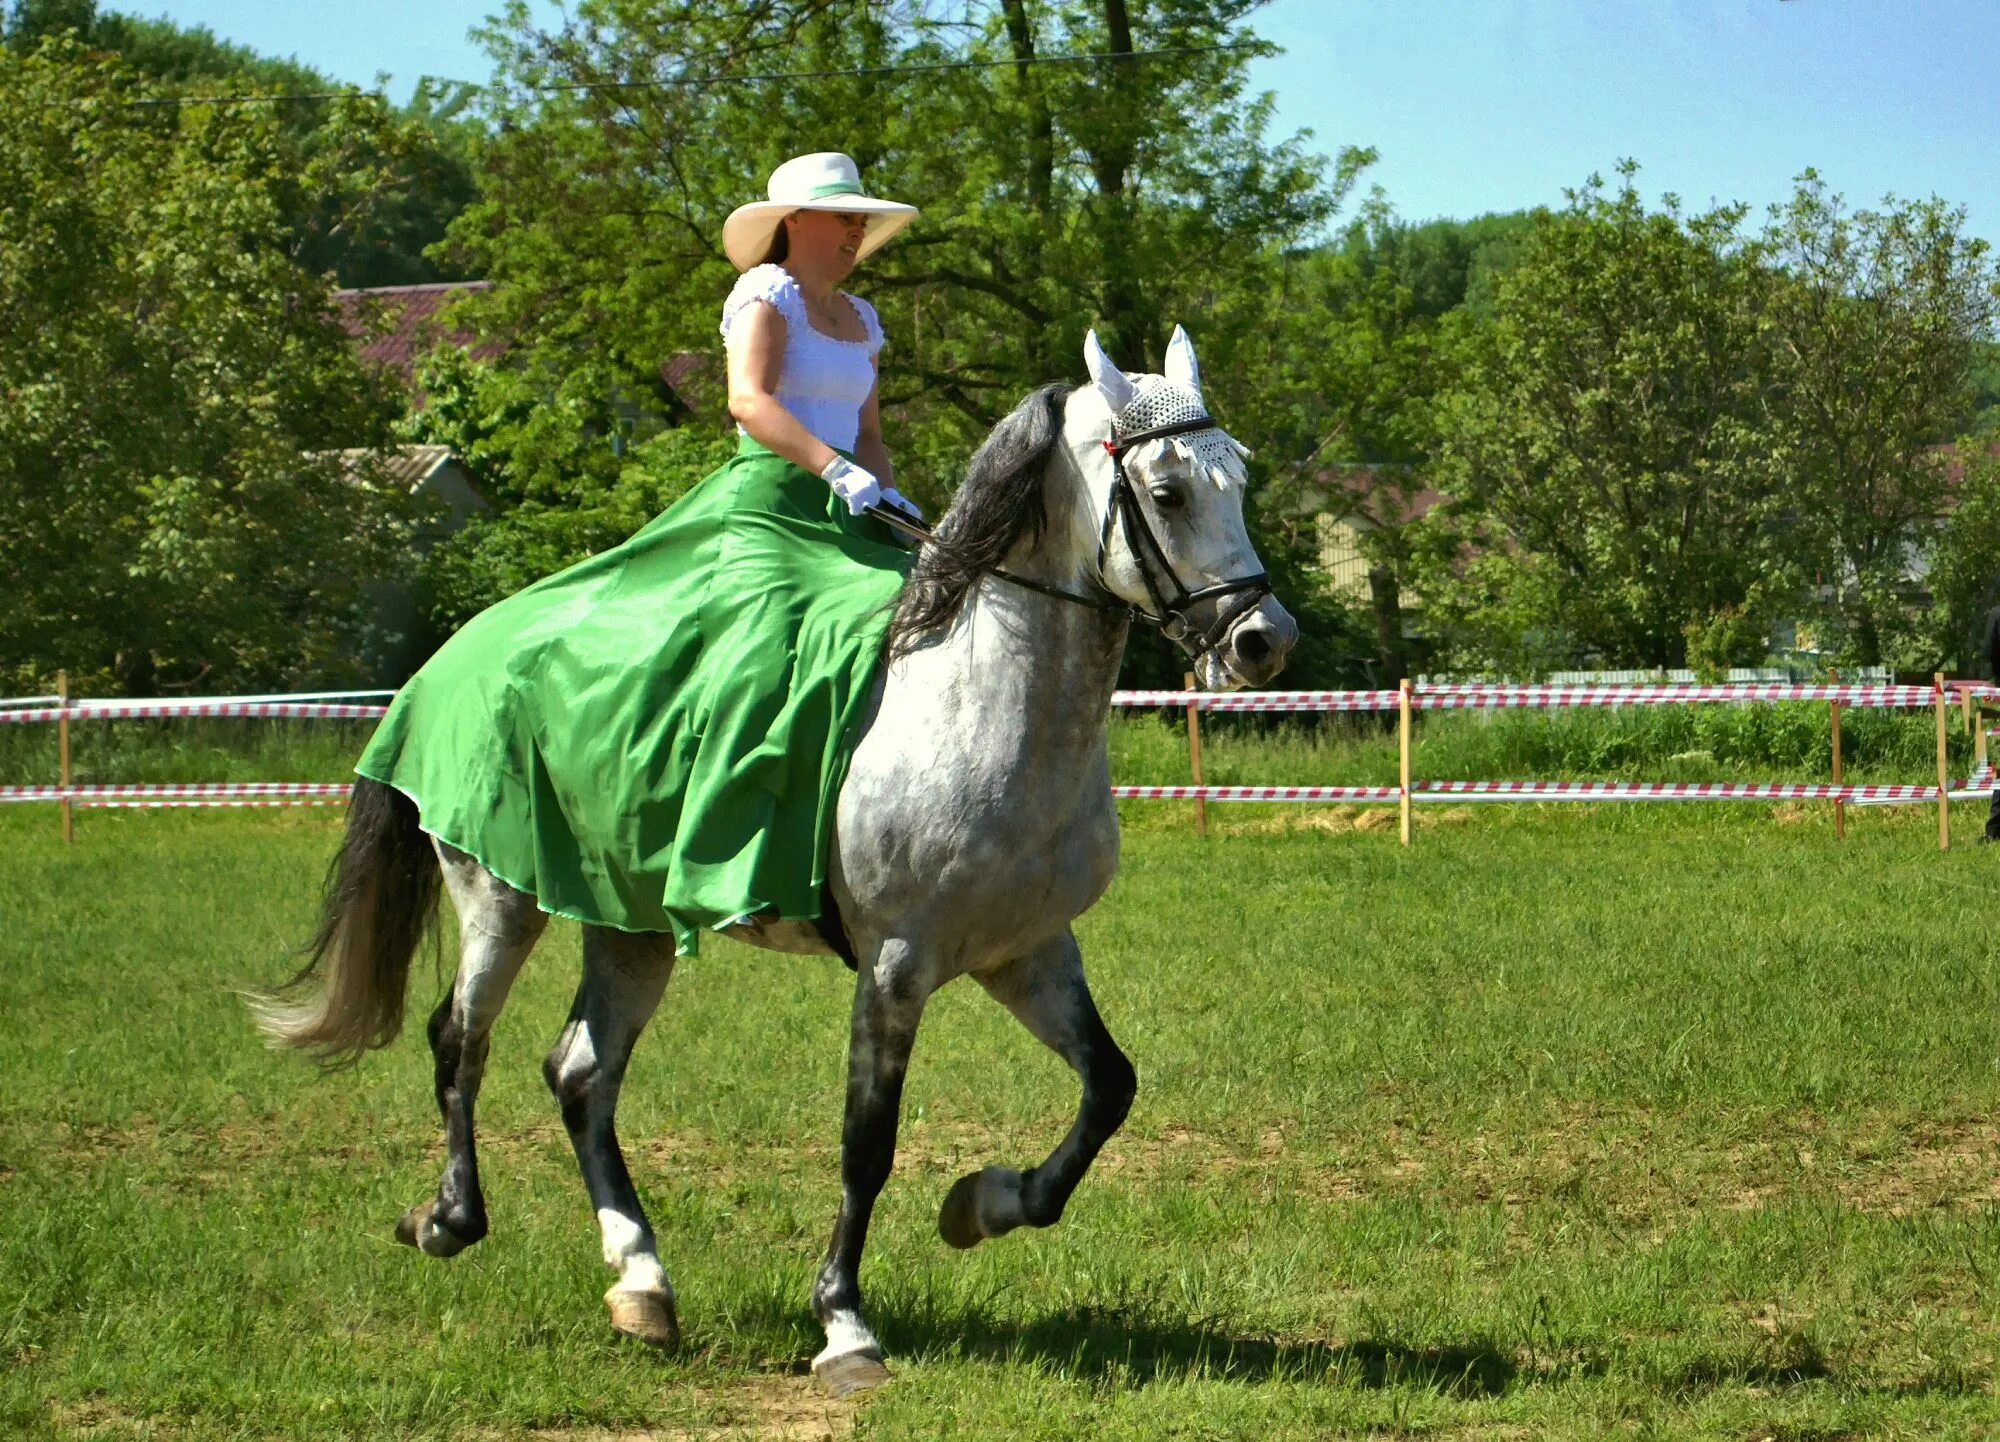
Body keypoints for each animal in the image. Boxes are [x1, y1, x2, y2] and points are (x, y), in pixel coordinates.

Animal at [254, 326, 1296, 1392]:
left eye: (1240, 476)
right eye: (1167, 492)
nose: (1264, 641)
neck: (979, 707)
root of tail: (457, 651)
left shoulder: (1027, 951)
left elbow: (1109, 1087)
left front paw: (983, 1205)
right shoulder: (896, 967)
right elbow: (867, 1143)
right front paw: (844, 1324)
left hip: (626, 924)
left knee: (580, 1073)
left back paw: (642, 1282)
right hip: (500, 897)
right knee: (460, 1042)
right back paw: (449, 1220)